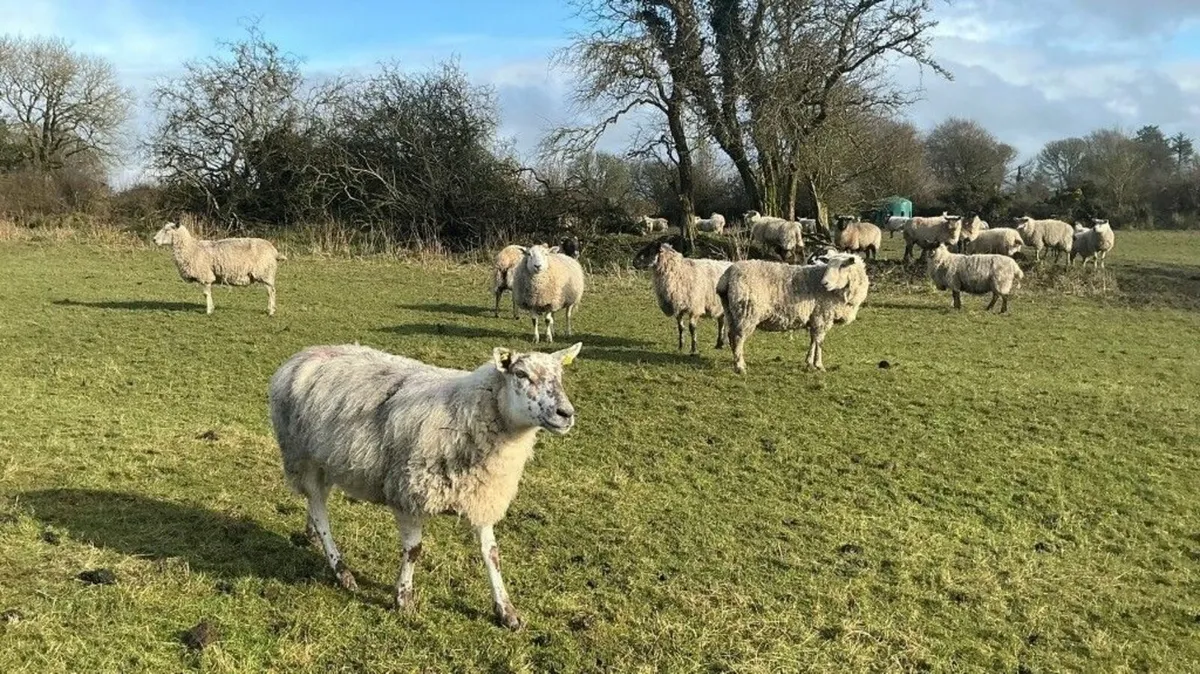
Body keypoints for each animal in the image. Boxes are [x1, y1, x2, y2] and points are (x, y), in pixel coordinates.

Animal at [151, 221, 284, 316]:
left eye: (167, 230)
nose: (154, 240)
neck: (191, 249)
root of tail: (274, 251)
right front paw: (211, 308)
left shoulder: (205, 276)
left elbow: (206, 294)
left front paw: (209, 311)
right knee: (271, 291)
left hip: (265, 273)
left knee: (271, 292)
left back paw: (271, 311)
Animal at [269, 341, 582, 629]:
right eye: (521, 374)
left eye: (560, 376)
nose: (566, 413)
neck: (469, 412)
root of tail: (303, 354)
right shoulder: (406, 493)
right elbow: (414, 550)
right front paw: (403, 599)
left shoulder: (481, 495)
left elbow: (491, 554)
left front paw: (506, 611)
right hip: (301, 456)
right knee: (320, 510)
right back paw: (341, 569)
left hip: (326, 460)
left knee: (316, 504)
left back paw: (311, 535)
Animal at [716, 252, 869, 373]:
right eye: (828, 265)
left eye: (843, 265)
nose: (824, 283)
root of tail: (728, 275)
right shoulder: (822, 316)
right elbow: (819, 342)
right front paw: (819, 365)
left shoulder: (815, 318)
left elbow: (813, 341)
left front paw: (809, 362)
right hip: (747, 312)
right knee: (738, 338)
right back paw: (740, 366)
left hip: (731, 311)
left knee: (731, 335)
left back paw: (736, 362)